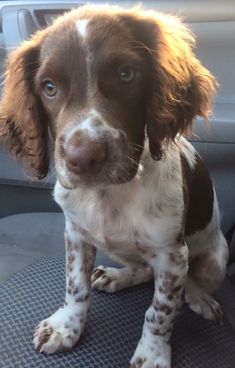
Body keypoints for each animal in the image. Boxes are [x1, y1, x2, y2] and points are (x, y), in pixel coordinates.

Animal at [0, 5, 228, 368]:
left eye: (126, 74)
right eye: (49, 87)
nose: (83, 158)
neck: (108, 195)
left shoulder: (172, 254)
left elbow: (160, 310)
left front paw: (153, 352)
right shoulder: (76, 234)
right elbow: (76, 286)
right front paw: (66, 326)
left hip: (216, 260)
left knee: (188, 281)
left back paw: (199, 298)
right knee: (142, 269)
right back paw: (117, 276)